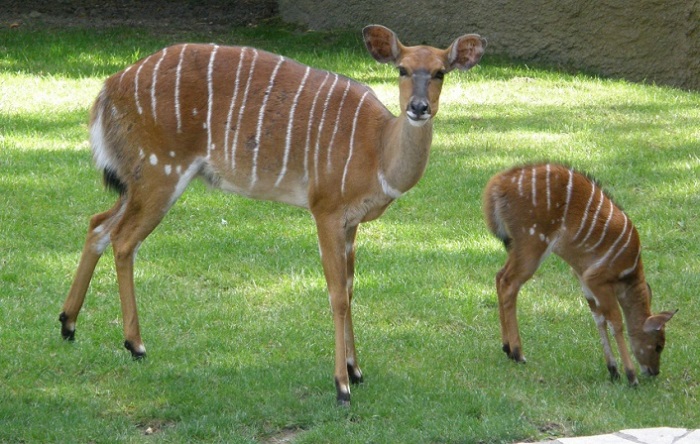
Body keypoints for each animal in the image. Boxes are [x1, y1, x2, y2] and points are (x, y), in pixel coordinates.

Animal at [58, 26, 486, 404]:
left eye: (440, 71)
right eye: (401, 68)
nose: (419, 108)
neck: (378, 150)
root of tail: (108, 88)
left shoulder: (351, 223)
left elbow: (350, 288)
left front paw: (356, 369)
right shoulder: (325, 209)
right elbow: (336, 294)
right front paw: (342, 386)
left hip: (137, 179)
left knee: (97, 223)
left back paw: (68, 324)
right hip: (159, 171)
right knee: (123, 239)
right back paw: (136, 345)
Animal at [484, 163, 676, 386]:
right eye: (658, 345)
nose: (654, 371)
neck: (628, 271)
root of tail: (496, 185)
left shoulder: (585, 281)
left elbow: (598, 319)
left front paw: (613, 370)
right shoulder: (599, 280)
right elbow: (615, 322)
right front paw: (630, 375)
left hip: (517, 247)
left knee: (499, 276)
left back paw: (506, 347)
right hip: (532, 244)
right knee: (509, 284)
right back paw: (518, 353)